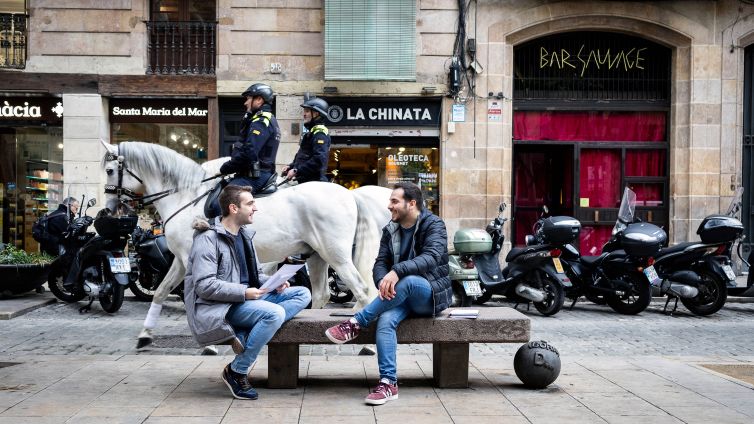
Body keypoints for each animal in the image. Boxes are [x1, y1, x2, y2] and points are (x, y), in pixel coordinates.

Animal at [98, 142, 388, 348]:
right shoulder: (181, 260)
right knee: (322, 295)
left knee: (363, 291)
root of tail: (350, 194)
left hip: (336, 254)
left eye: (111, 171)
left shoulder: (193, 260)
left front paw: (211, 343)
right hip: (317, 256)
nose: (108, 209)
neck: (186, 196)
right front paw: (145, 334)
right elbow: (159, 292)